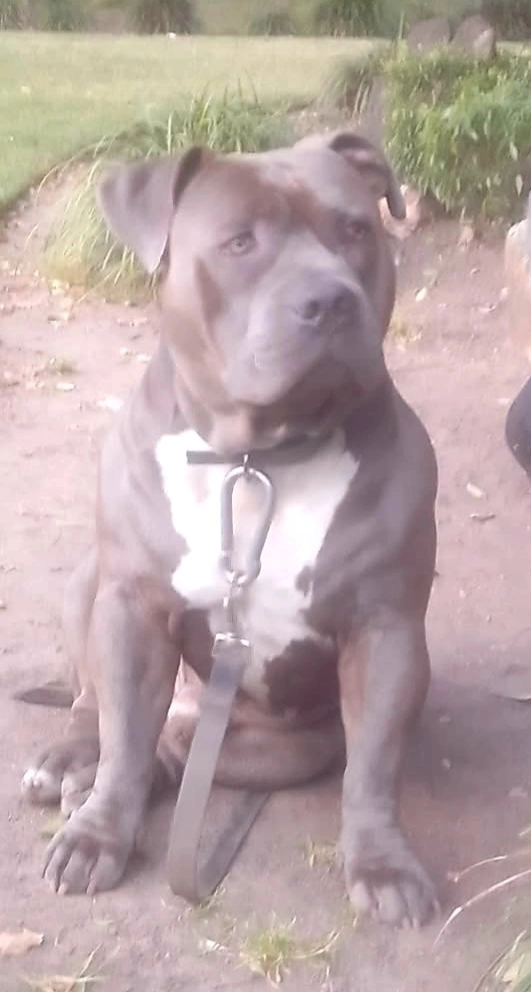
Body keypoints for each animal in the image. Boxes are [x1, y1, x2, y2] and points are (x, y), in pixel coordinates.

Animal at [21, 130, 438, 926]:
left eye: (354, 231)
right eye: (239, 242)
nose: (328, 299)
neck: (256, 458)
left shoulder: (386, 630)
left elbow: (372, 766)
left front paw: (383, 861)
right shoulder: (131, 608)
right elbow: (121, 738)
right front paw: (98, 834)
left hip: (287, 743)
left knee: (180, 749)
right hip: (92, 583)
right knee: (99, 710)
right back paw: (69, 761)